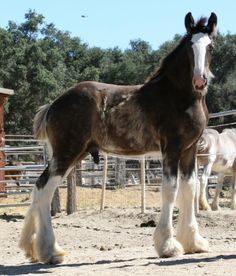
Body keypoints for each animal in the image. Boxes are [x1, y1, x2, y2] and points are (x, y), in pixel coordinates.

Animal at [19, 12, 217, 264]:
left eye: (210, 47)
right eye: (190, 48)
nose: (199, 81)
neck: (179, 96)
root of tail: (53, 105)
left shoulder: (189, 150)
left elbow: (189, 189)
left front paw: (193, 242)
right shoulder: (171, 148)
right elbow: (171, 189)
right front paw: (167, 245)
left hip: (74, 154)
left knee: (39, 189)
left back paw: (31, 247)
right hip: (67, 153)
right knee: (44, 189)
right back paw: (50, 251)